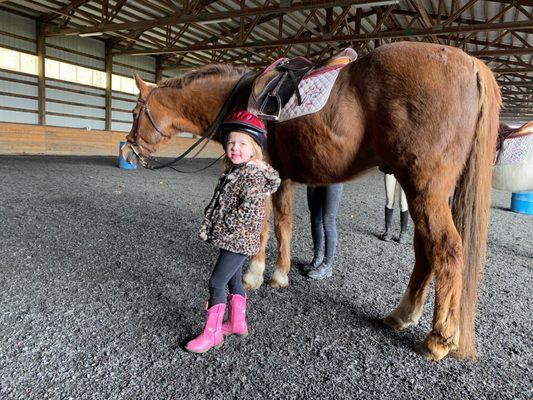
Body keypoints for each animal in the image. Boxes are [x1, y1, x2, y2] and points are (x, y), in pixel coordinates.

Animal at [122, 42, 500, 360]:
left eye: (135, 112)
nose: (128, 150)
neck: (239, 100)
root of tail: (469, 63)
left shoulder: (263, 173)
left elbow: (263, 228)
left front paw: (254, 274)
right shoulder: (283, 178)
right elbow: (284, 224)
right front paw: (279, 275)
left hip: (424, 187)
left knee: (446, 251)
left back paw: (438, 340)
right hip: (420, 190)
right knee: (424, 251)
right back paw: (402, 315)